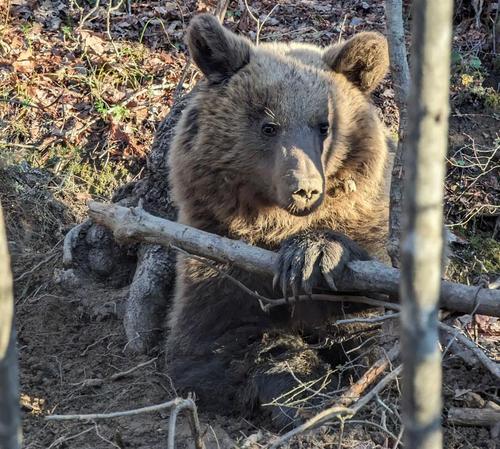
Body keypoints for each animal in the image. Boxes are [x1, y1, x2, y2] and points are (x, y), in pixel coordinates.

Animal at [167, 13, 390, 428]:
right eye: (268, 126)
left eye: (324, 125)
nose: (305, 188)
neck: (275, 227)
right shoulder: (217, 253)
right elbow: (215, 340)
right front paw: (300, 386)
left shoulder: (366, 233)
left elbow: (368, 321)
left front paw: (312, 256)